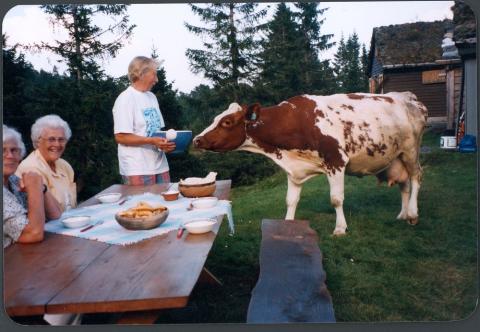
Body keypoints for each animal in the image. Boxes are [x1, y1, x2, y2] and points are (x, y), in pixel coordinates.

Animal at [193, 92, 426, 235]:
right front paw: (287, 224)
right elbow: (290, 201)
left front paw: (340, 228)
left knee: (416, 177)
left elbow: (336, 199)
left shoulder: (336, 161)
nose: (197, 140)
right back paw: (403, 214)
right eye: (215, 118)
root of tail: (407, 97)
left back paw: (414, 214)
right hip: (396, 157)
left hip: (411, 150)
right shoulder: (293, 171)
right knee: (404, 184)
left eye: (227, 122)